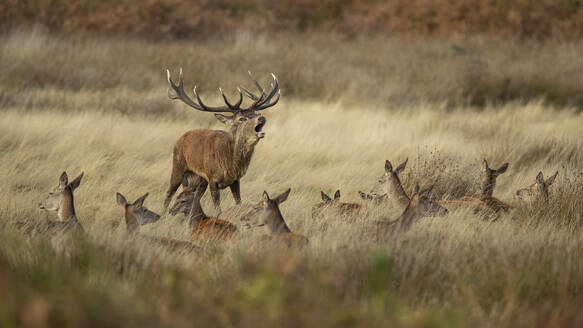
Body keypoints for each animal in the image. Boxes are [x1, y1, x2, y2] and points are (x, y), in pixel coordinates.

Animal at [163, 69, 280, 213]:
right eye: (242, 118)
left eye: (256, 113)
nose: (261, 118)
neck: (230, 164)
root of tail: (182, 137)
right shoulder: (213, 179)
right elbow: (218, 209)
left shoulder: (235, 180)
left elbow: (239, 202)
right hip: (178, 165)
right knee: (169, 192)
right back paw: (164, 213)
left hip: (199, 179)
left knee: (194, 196)